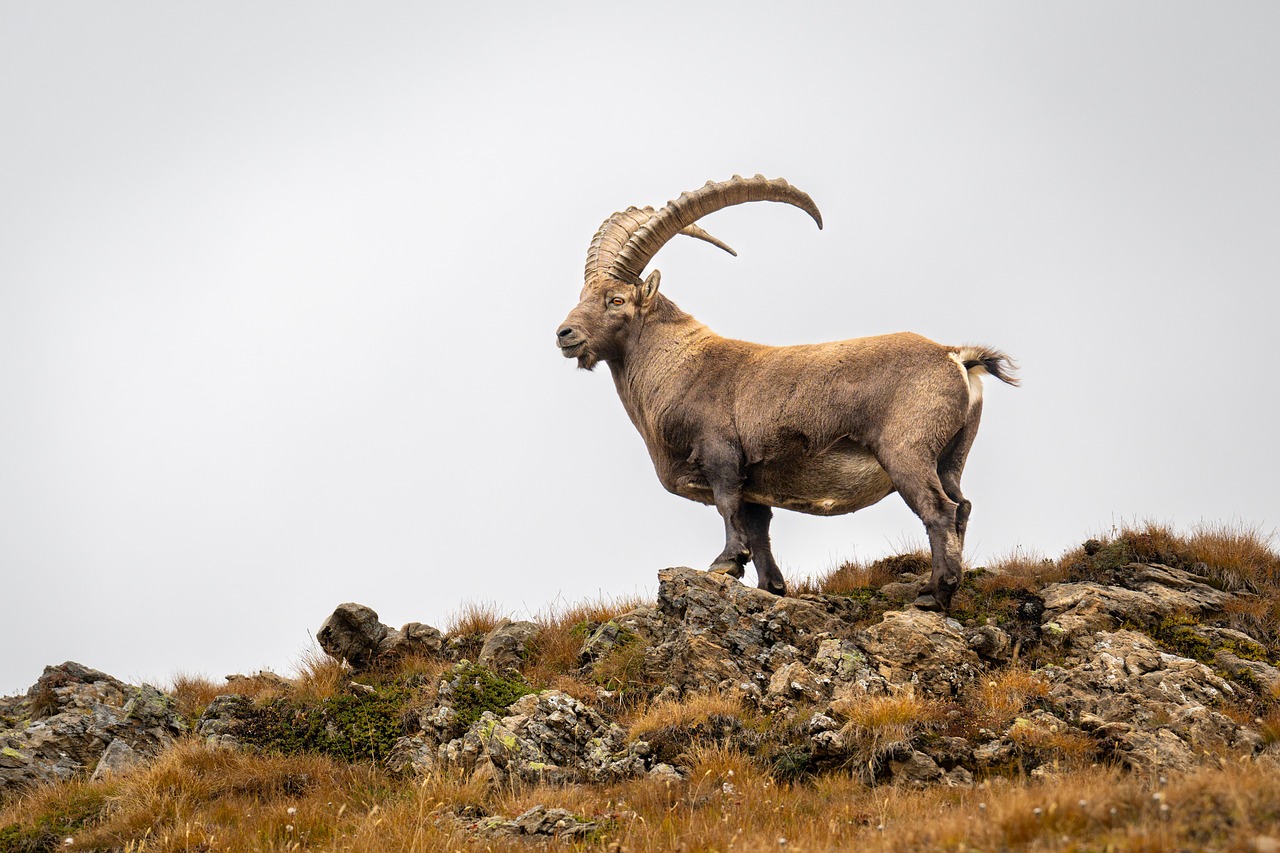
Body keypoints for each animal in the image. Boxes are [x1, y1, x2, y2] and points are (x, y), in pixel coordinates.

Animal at [555, 175, 1017, 610]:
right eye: (583, 296)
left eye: (616, 299)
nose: (565, 333)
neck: (679, 365)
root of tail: (956, 357)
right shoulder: (755, 484)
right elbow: (759, 530)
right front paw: (771, 587)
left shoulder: (721, 453)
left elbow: (727, 505)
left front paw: (725, 562)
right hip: (951, 456)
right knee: (962, 505)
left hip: (906, 451)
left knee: (939, 510)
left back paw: (933, 594)